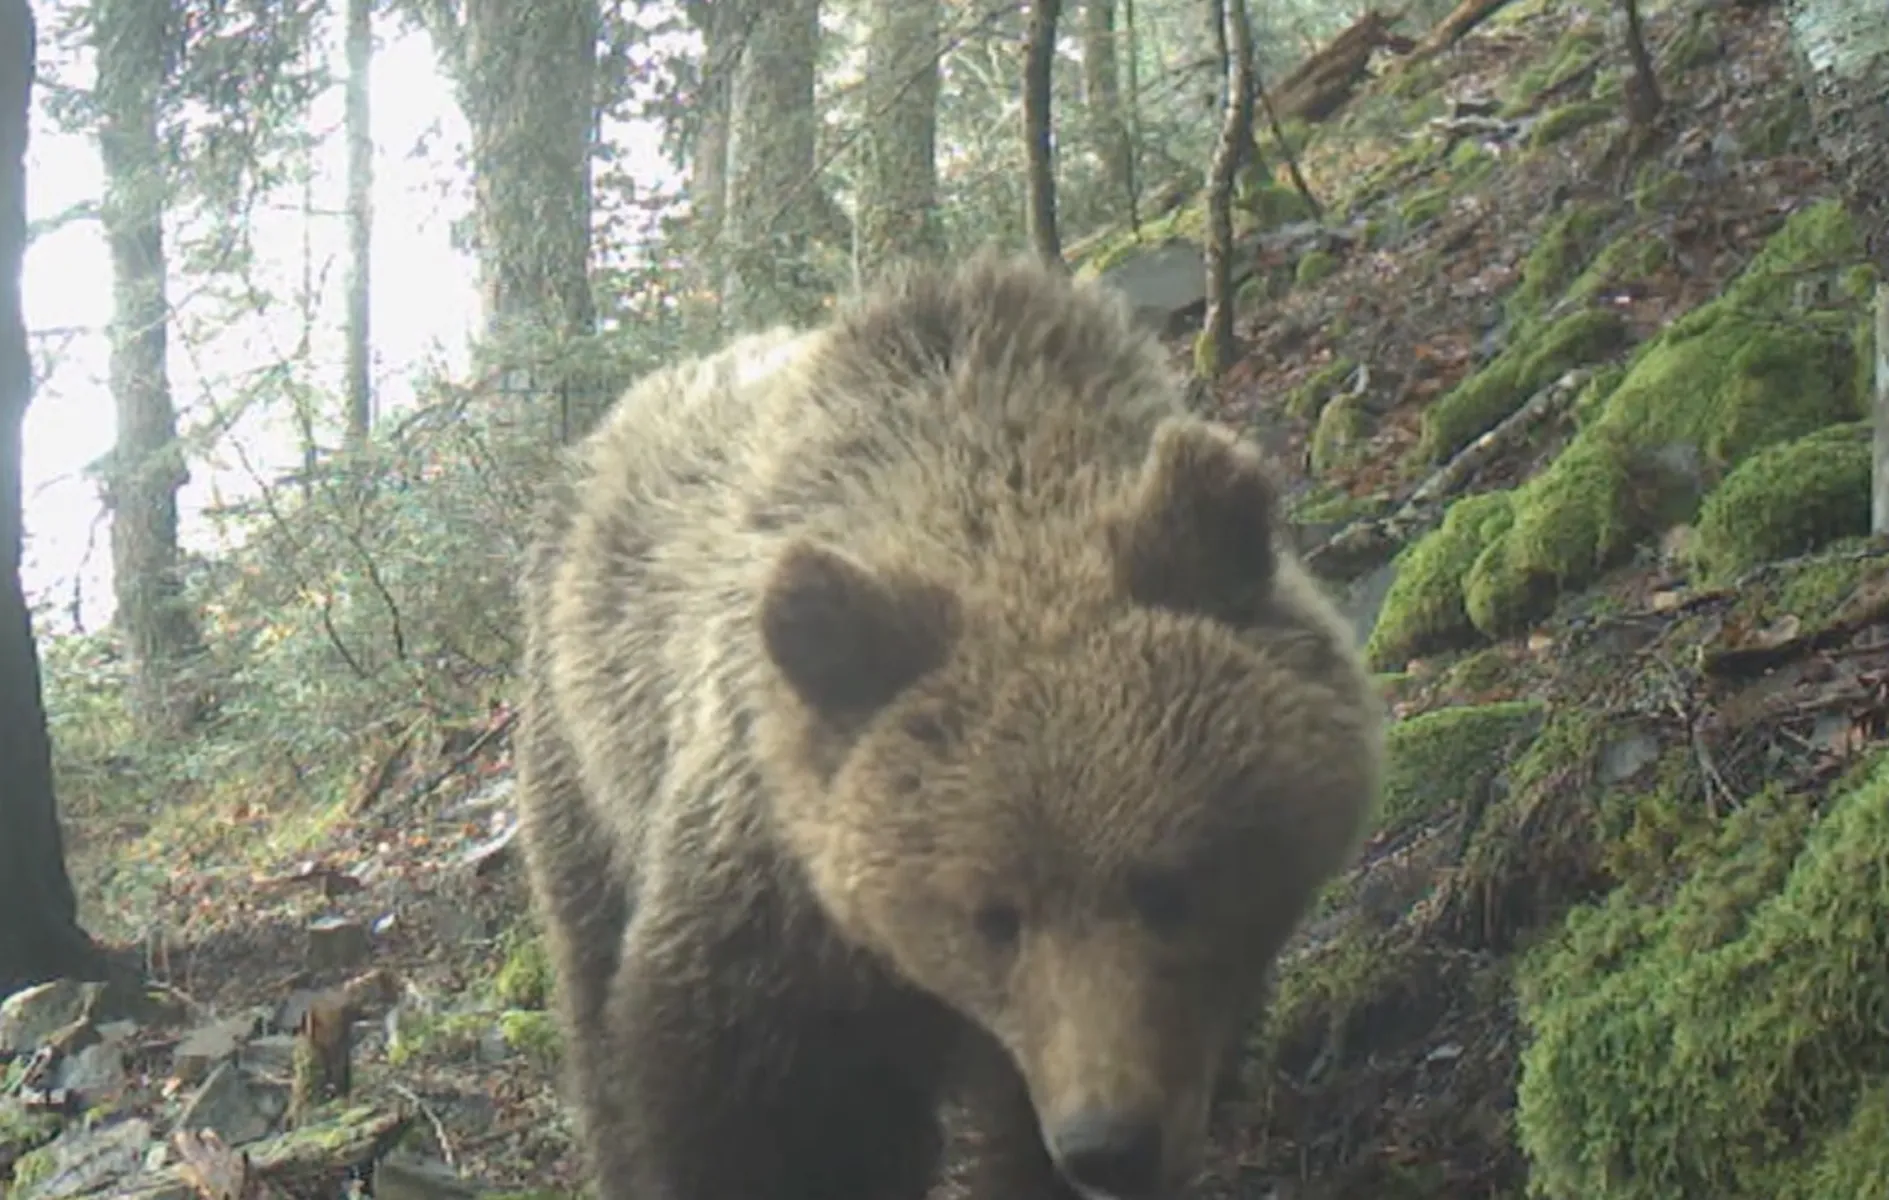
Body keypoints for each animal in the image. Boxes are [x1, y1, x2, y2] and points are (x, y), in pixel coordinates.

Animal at [517, 255, 1390, 1200]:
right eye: (991, 916)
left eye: (1170, 884)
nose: (1106, 1142)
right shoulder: (768, 904)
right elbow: (752, 1112)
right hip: (584, 758)